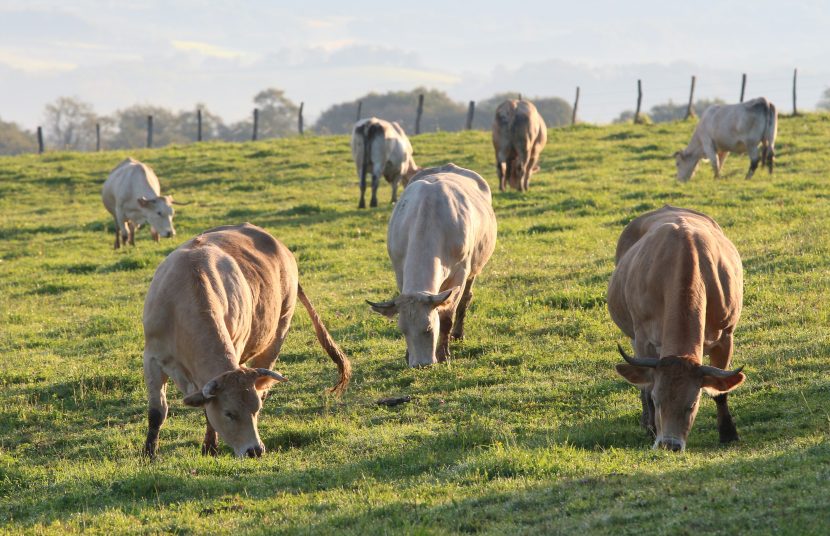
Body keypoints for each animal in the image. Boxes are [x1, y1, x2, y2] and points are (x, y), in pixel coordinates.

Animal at [143, 224, 352, 458]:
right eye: (229, 413)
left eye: (255, 410)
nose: (255, 450)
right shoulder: (152, 358)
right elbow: (157, 412)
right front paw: (149, 453)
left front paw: (210, 447)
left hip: (279, 329)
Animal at [368, 163, 498, 368]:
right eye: (403, 331)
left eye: (428, 328)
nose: (420, 364)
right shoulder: (399, 271)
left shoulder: (460, 274)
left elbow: (447, 317)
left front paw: (444, 354)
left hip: (474, 269)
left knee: (466, 299)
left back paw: (458, 333)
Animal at [608, 205, 752, 452]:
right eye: (658, 400)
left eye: (692, 403)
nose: (669, 444)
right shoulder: (644, 338)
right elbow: (647, 387)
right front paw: (651, 428)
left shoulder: (725, 336)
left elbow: (720, 392)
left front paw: (728, 433)